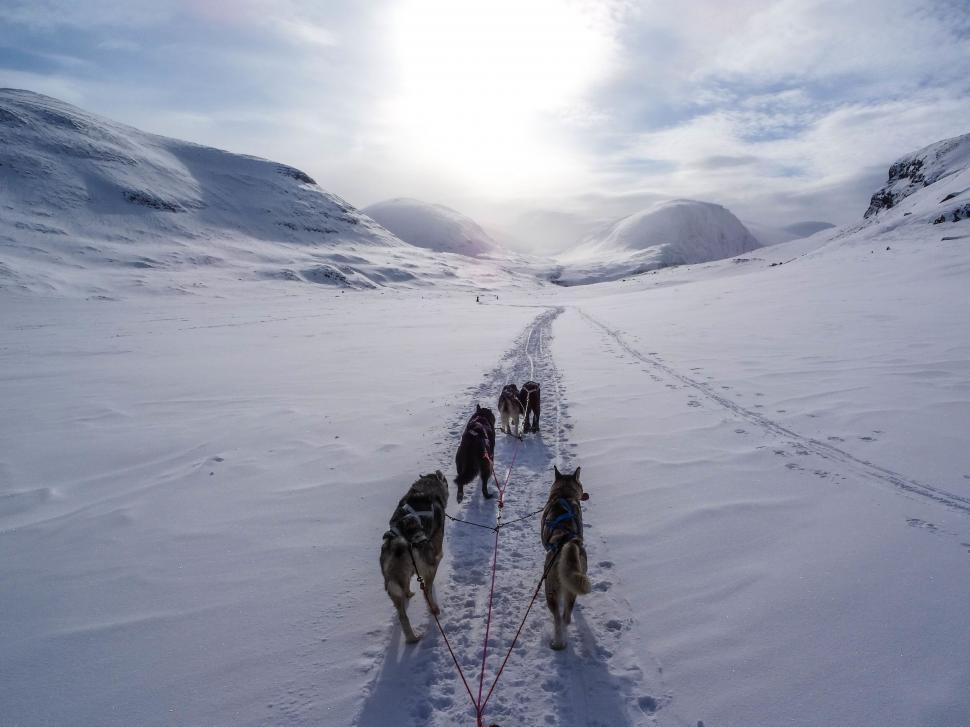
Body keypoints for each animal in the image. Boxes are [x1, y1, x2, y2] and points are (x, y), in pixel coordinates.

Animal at [536, 470, 588, 652]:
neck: (563, 494)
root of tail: (567, 542)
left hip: (550, 590)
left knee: (558, 618)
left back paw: (557, 643)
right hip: (575, 580)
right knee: (565, 617)